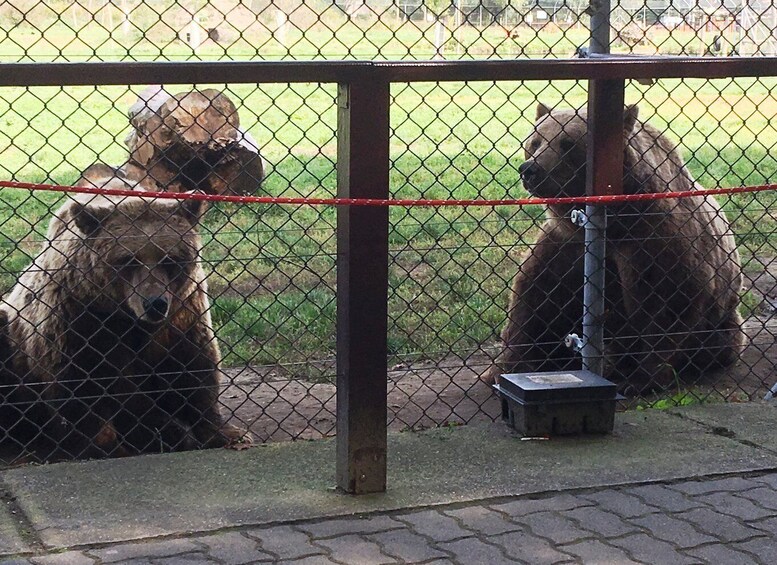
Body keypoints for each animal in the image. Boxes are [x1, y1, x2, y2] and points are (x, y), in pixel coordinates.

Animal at [0, 194, 249, 458]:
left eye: (169, 258)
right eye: (128, 259)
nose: (154, 303)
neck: (125, 314)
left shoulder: (182, 309)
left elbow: (193, 363)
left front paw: (226, 433)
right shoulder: (79, 315)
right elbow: (80, 385)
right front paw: (105, 445)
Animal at [482, 103, 744, 394]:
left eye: (567, 143)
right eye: (535, 141)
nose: (530, 169)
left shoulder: (652, 243)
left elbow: (665, 301)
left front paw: (640, 379)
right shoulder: (565, 244)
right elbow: (535, 299)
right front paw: (501, 369)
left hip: (722, 321)